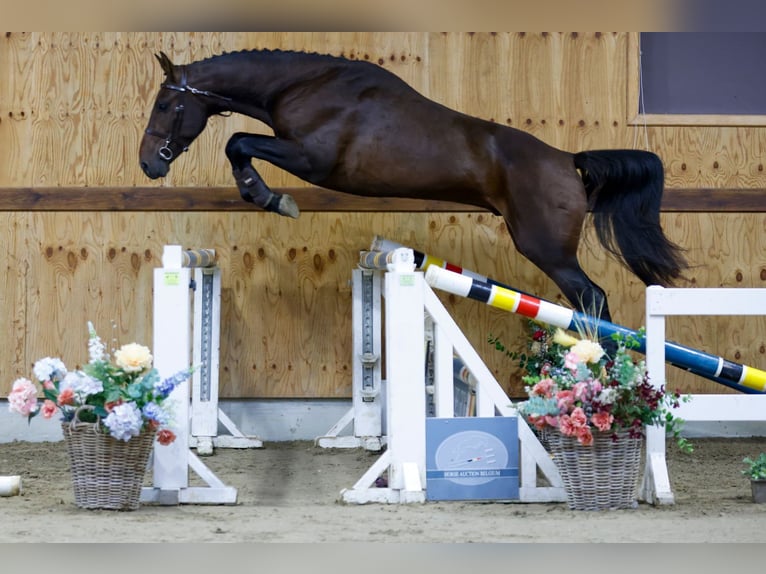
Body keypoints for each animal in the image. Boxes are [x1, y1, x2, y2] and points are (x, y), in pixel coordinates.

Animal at [140, 50, 688, 326]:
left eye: (166, 106)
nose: (148, 164)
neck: (305, 85)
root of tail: (567, 161)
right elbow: (239, 144)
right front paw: (265, 196)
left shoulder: (311, 159)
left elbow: (238, 142)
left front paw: (270, 198)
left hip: (547, 249)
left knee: (592, 300)